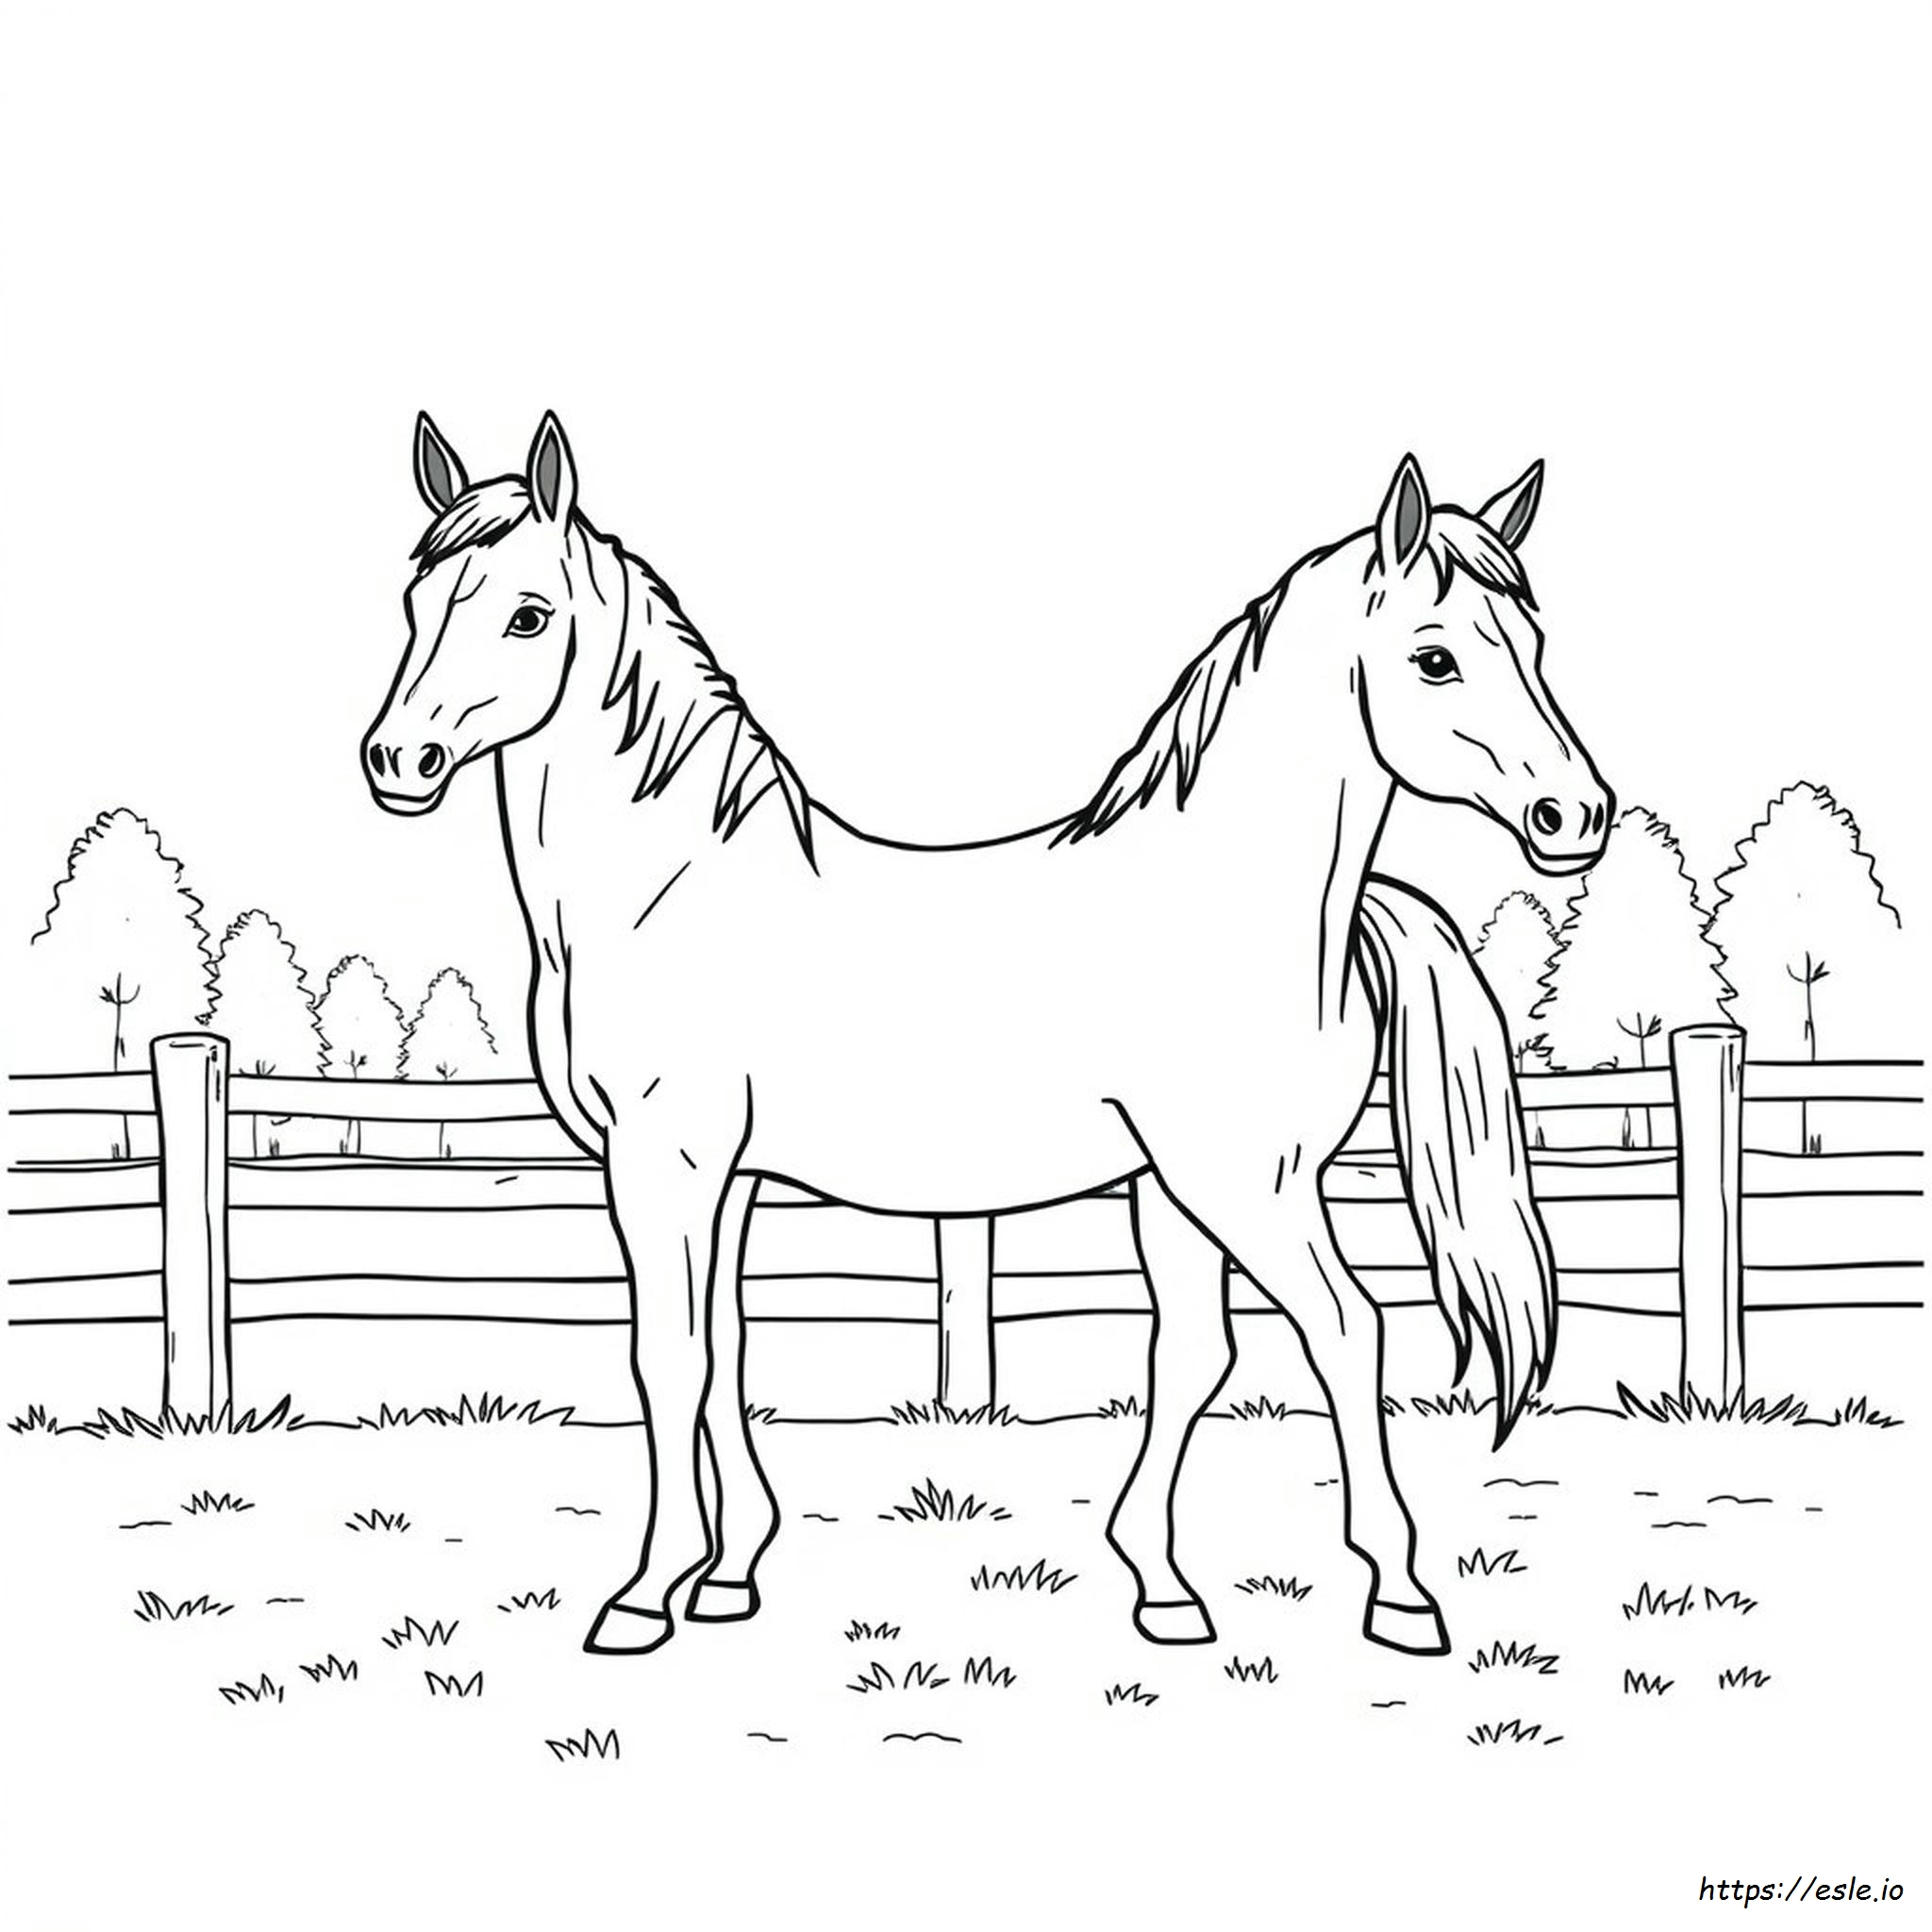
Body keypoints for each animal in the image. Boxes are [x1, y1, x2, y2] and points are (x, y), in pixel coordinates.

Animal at [361, 415, 1612, 1658]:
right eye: (417, 602)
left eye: (527, 614)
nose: (1573, 816)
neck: (667, 887)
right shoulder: (720, 1172)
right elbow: (721, 1348)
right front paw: (728, 1574)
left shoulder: (663, 1159)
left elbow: (666, 1356)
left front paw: (639, 1597)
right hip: (1178, 1188)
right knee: (1194, 1350)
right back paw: (1163, 1589)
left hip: (1248, 1183)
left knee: (1345, 1330)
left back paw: (1396, 1593)